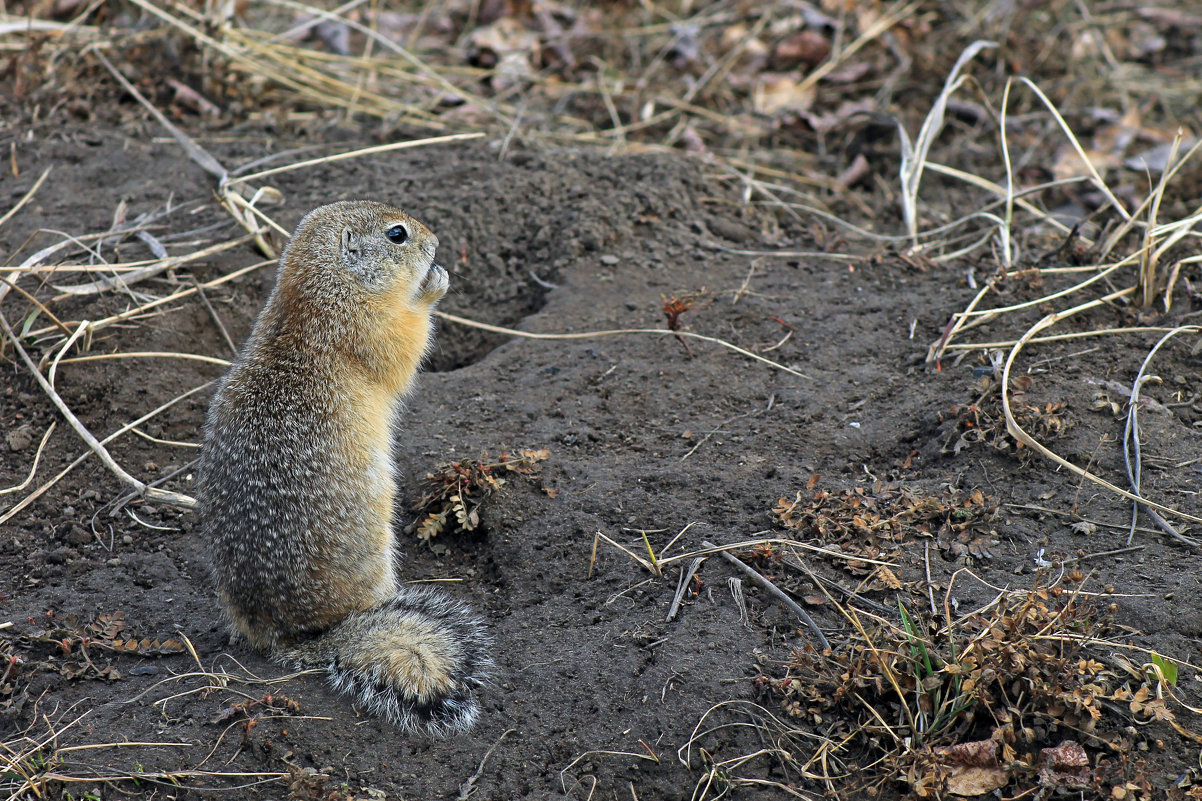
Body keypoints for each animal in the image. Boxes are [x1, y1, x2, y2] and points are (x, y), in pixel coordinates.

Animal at [199, 198, 490, 731]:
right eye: (397, 234)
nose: (437, 240)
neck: (319, 293)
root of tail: (295, 636)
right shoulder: (363, 324)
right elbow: (402, 344)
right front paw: (432, 286)